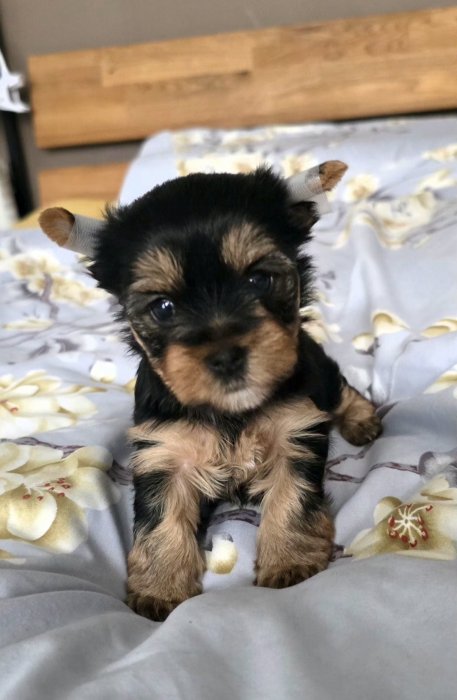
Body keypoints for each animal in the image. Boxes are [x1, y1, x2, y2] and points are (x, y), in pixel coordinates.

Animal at [40, 162, 382, 621]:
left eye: (259, 279)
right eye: (163, 308)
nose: (225, 356)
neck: (230, 409)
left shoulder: (296, 428)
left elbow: (291, 497)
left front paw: (289, 563)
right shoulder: (163, 451)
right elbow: (161, 519)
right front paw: (160, 588)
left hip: (317, 370)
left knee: (342, 390)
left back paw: (362, 421)